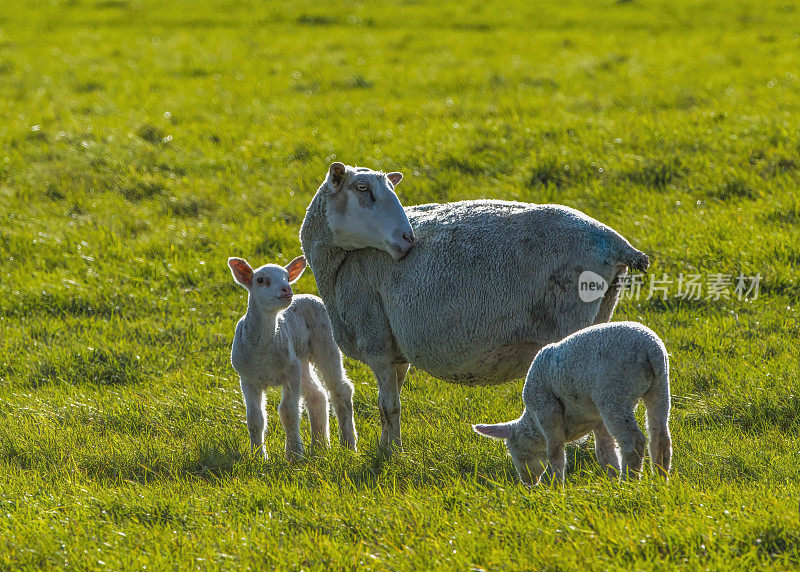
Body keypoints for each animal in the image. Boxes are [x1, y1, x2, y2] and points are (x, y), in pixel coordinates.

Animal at [230, 255, 358, 460]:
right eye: (260, 280)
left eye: (287, 277)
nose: (287, 290)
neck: (263, 349)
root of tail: (308, 295)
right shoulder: (248, 378)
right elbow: (254, 418)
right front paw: (258, 456)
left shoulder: (290, 373)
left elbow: (288, 412)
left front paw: (294, 455)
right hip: (300, 358)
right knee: (317, 394)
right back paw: (320, 446)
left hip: (325, 342)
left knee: (340, 389)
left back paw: (348, 445)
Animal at [296, 162, 648, 452]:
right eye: (362, 188)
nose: (408, 238)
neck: (338, 266)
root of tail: (613, 241)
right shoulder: (396, 351)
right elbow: (392, 399)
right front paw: (387, 447)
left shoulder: (376, 341)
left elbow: (388, 406)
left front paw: (393, 455)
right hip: (602, 312)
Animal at [472, 320, 672, 484]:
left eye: (514, 451)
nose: (528, 482)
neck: (533, 421)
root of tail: (649, 349)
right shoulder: (596, 418)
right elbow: (605, 451)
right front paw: (612, 480)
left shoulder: (546, 409)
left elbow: (555, 454)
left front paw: (556, 489)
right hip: (659, 387)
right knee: (660, 436)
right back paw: (660, 480)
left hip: (613, 395)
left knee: (634, 442)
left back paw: (629, 483)